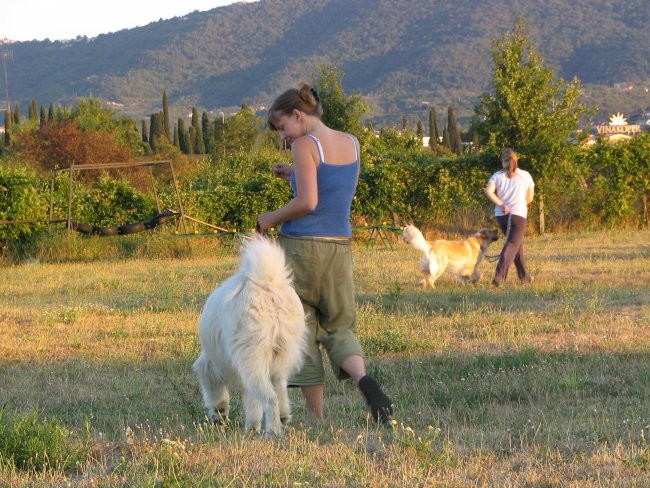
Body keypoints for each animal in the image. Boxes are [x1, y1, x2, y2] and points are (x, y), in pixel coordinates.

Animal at [190, 234, 306, 436]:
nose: (217, 423)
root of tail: (266, 284)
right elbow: (253, 403)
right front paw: (251, 428)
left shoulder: (215, 368)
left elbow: (219, 395)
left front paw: (220, 414)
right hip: (280, 356)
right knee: (280, 388)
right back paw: (283, 417)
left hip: (254, 359)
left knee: (270, 398)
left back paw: (273, 432)